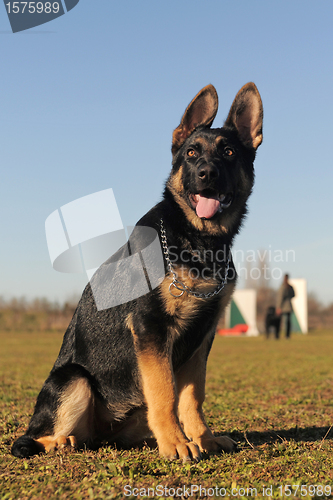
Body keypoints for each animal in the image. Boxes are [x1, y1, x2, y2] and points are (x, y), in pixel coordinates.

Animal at [12, 82, 262, 460]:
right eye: (191, 153)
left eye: (230, 152)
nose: (207, 174)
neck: (198, 241)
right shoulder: (150, 328)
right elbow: (165, 391)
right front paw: (177, 442)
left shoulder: (203, 336)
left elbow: (192, 396)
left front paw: (203, 438)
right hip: (73, 379)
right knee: (31, 438)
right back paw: (61, 442)